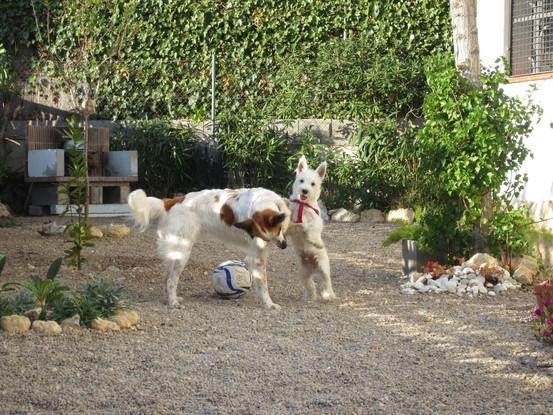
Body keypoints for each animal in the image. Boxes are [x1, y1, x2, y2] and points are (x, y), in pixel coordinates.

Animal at [128, 188, 292, 308]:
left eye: (279, 230)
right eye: (273, 233)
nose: (284, 246)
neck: (263, 201)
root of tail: (171, 201)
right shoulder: (256, 257)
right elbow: (263, 284)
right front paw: (269, 304)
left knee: (166, 278)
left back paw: (170, 299)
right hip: (182, 252)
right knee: (171, 280)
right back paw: (173, 303)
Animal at [284, 156, 336, 302]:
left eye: (313, 184)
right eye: (301, 181)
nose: (304, 191)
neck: (303, 204)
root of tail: (313, 268)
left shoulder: (316, 220)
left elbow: (312, 228)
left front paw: (315, 242)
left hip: (323, 266)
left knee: (326, 282)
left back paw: (329, 295)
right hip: (303, 272)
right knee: (310, 285)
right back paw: (310, 297)